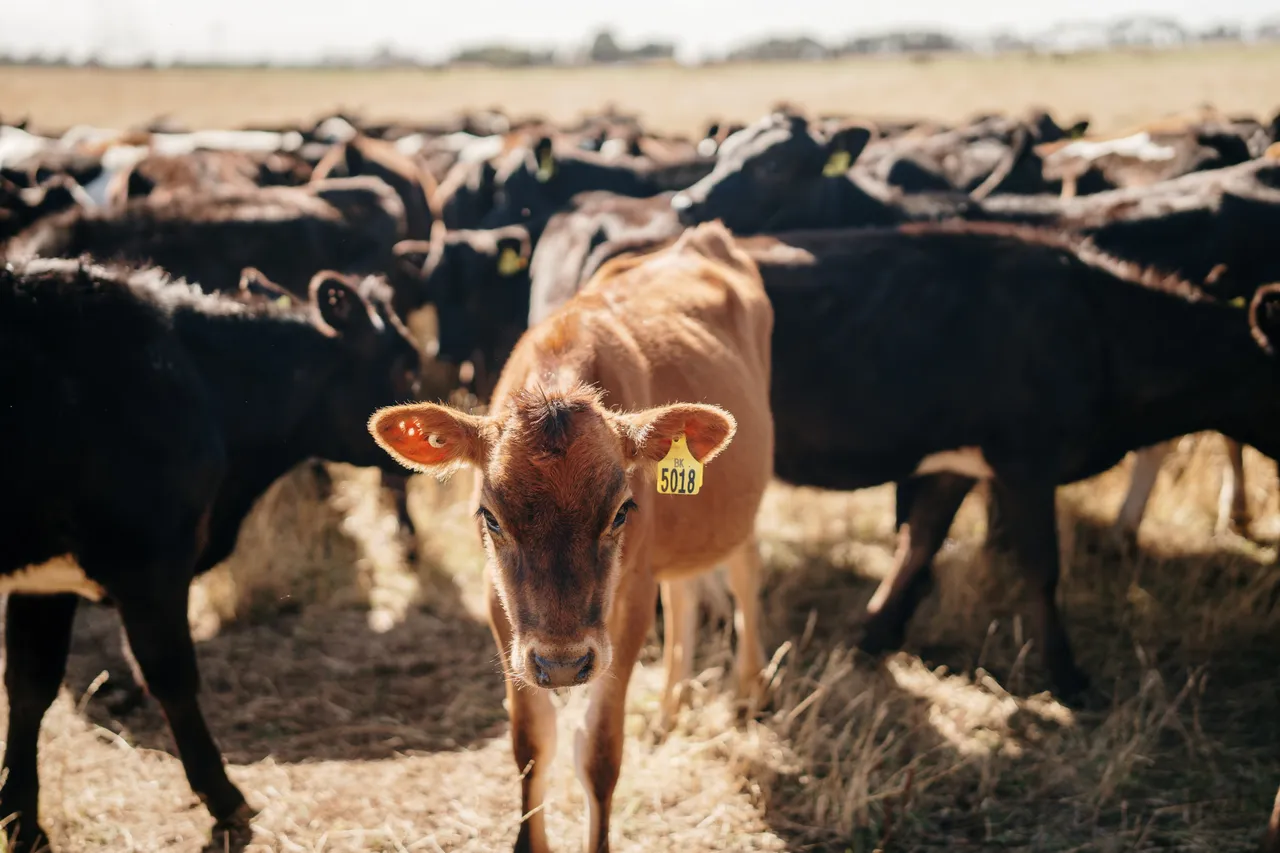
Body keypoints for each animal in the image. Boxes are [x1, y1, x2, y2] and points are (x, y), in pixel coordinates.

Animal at [0, 258, 424, 853]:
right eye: (406, 370)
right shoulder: (148, 564)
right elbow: (172, 678)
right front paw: (225, 799)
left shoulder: (46, 581)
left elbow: (29, 687)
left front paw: (21, 820)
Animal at [368, 220, 774, 853]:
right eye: (489, 516)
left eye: (622, 511)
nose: (562, 665)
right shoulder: (503, 611)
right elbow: (532, 747)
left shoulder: (628, 604)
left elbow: (599, 753)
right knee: (685, 590)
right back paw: (669, 711)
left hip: (739, 507)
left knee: (743, 571)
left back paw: (751, 691)